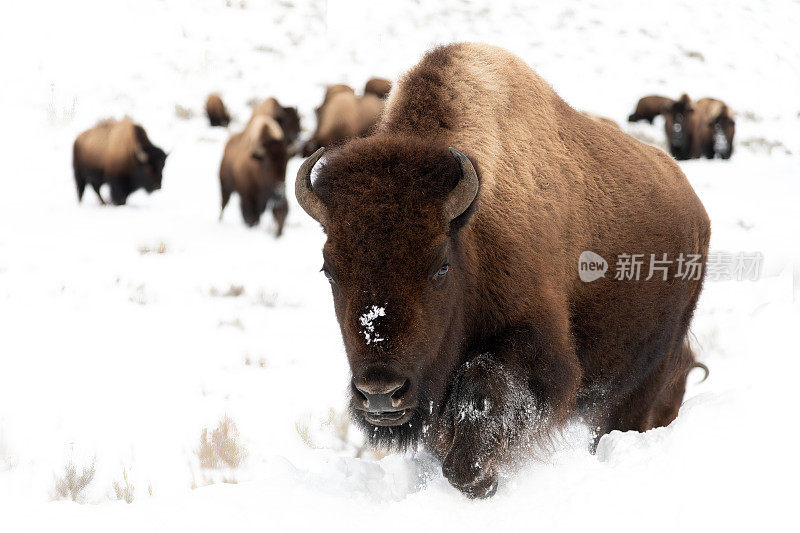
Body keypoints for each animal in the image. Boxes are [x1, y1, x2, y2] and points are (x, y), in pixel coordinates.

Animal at [296, 43, 708, 496]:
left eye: (440, 266)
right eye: (328, 270)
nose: (381, 393)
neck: (470, 230)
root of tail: (694, 208)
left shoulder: (537, 348)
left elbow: (484, 388)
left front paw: (482, 480)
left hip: (646, 374)